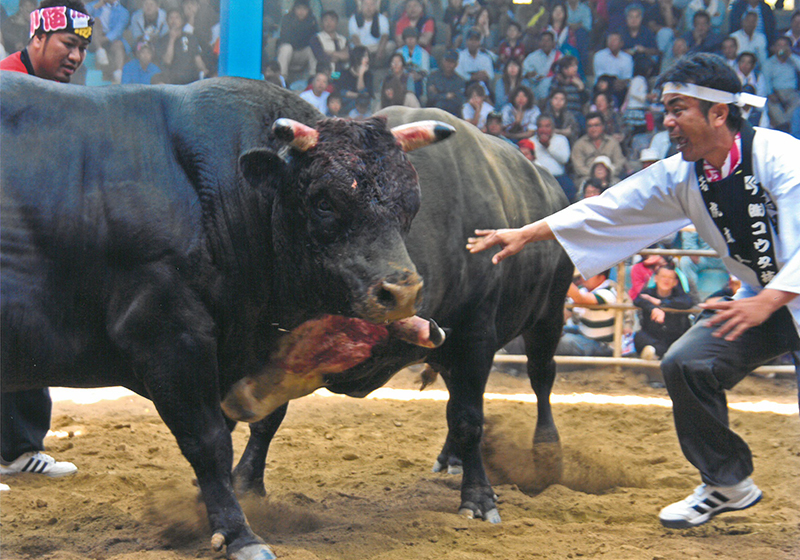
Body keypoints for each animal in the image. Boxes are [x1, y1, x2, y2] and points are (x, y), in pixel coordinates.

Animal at [0, 73, 453, 560]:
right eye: (324, 201)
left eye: (411, 202)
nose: (402, 292)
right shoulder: (167, 336)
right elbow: (208, 441)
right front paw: (239, 534)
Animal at [224, 107, 574, 527]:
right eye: (323, 203)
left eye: (410, 206)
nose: (398, 293)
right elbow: (267, 416)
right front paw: (247, 485)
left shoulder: (476, 336)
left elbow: (469, 419)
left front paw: (479, 498)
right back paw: (451, 457)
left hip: (548, 318)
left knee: (540, 377)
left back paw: (548, 451)